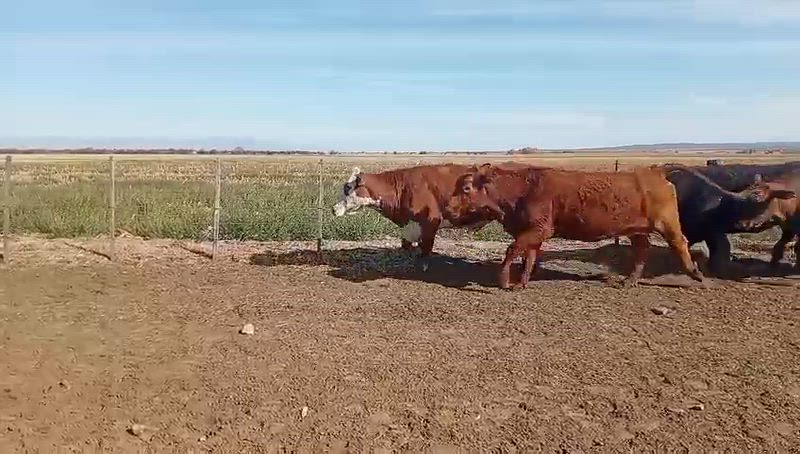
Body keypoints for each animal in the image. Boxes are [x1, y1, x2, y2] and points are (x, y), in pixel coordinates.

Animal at [331, 162, 539, 270]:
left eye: (348, 189)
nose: (333, 209)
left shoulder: (430, 222)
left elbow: (426, 249)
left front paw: (422, 268)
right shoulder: (410, 227)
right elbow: (409, 248)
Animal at [443, 164, 705, 289]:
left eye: (466, 188)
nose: (448, 208)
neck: (523, 189)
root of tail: (654, 171)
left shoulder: (537, 230)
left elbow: (512, 250)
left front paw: (505, 281)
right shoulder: (533, 233)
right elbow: (528, 255)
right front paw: (521, 283)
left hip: (667, 223)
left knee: (680, 243)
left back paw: (696, 273)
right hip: (637, 231)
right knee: (642, 251)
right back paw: (630, 281)